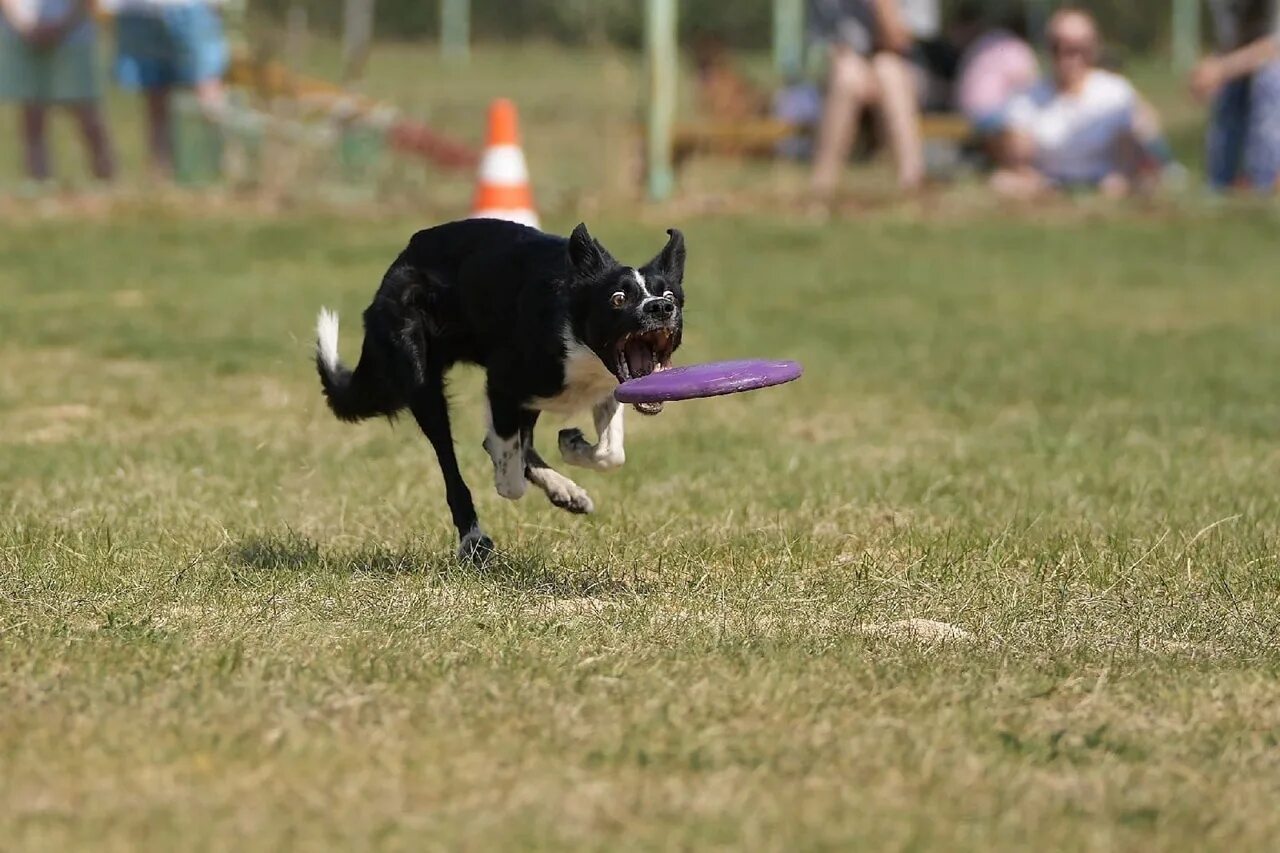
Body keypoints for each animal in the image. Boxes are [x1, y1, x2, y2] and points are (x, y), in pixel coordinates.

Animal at [313, 217, 686, 558]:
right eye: (618, 298)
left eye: (670, 295)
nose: (660, 308)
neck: (577, 337)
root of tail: (401, 259)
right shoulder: (503, 382)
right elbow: (509, 476)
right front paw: (517, 463)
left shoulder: (604, 388)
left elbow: (611, 454)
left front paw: (573, 445)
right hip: (422, 377)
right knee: (452, 464)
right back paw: (474, 539)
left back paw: (565, 489)